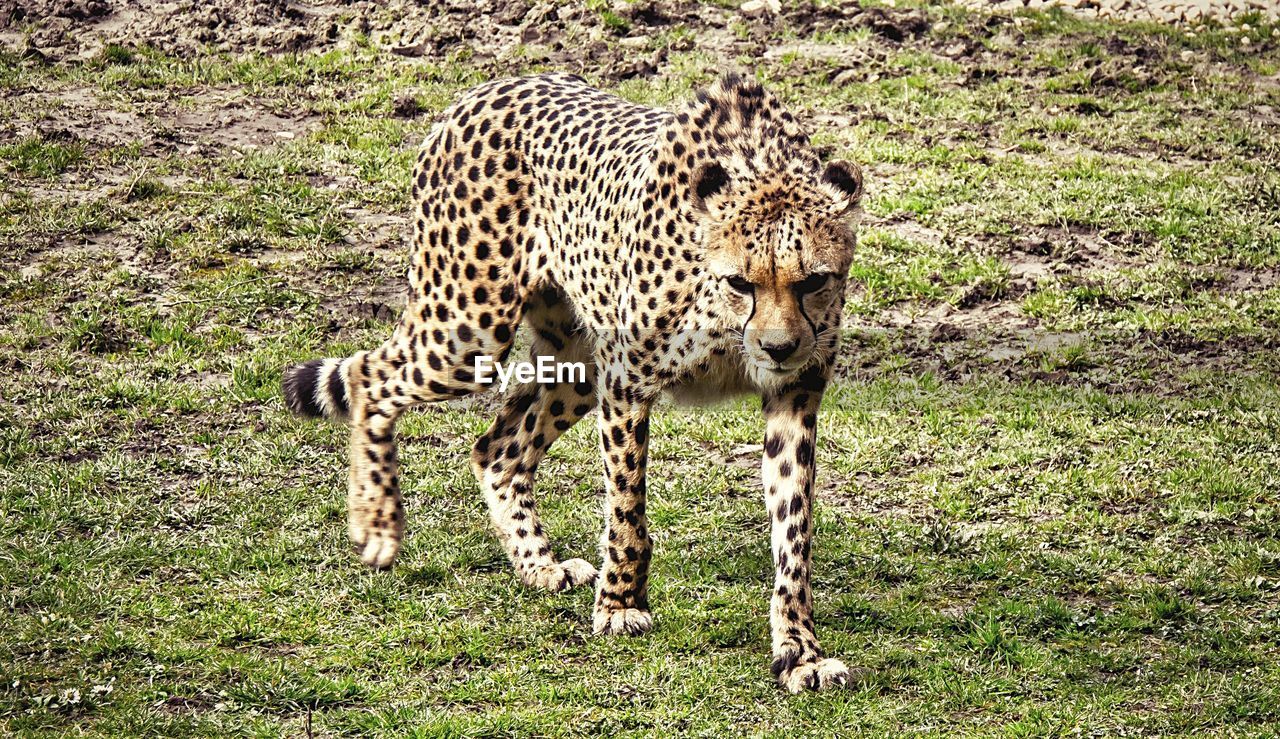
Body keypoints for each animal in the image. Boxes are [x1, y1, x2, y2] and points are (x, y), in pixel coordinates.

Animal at [285, 72, 865, 686]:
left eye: (813, 281)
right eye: (741, 282)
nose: (778, 347)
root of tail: (484, 88)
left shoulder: (793, 395)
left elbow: (793, 532)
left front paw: (799, 650)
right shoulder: (627, 384)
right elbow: (627, 511)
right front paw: (620, 605)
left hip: (576, 358)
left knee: (497, 446)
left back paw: (539, 566)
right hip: (469, 331)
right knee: (370, 377)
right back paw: (377, 526)